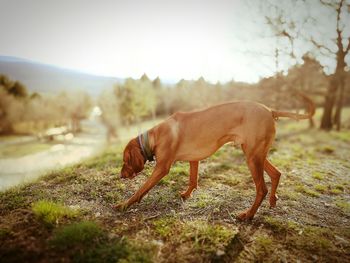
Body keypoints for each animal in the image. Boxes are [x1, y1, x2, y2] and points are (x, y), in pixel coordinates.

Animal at [115, 97, 314, 221]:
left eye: (125, 160)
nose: (121, 176)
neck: (154, 136)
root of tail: (270, 110)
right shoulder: (194, 160)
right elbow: (193, 180)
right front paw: (187, 194)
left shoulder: (162, 168)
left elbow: (141, 189)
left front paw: (125, 204)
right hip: (255, 153)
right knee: (276, 173)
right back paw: (273, 201)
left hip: (252, 158)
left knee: (261, 189)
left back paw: (248, 215)